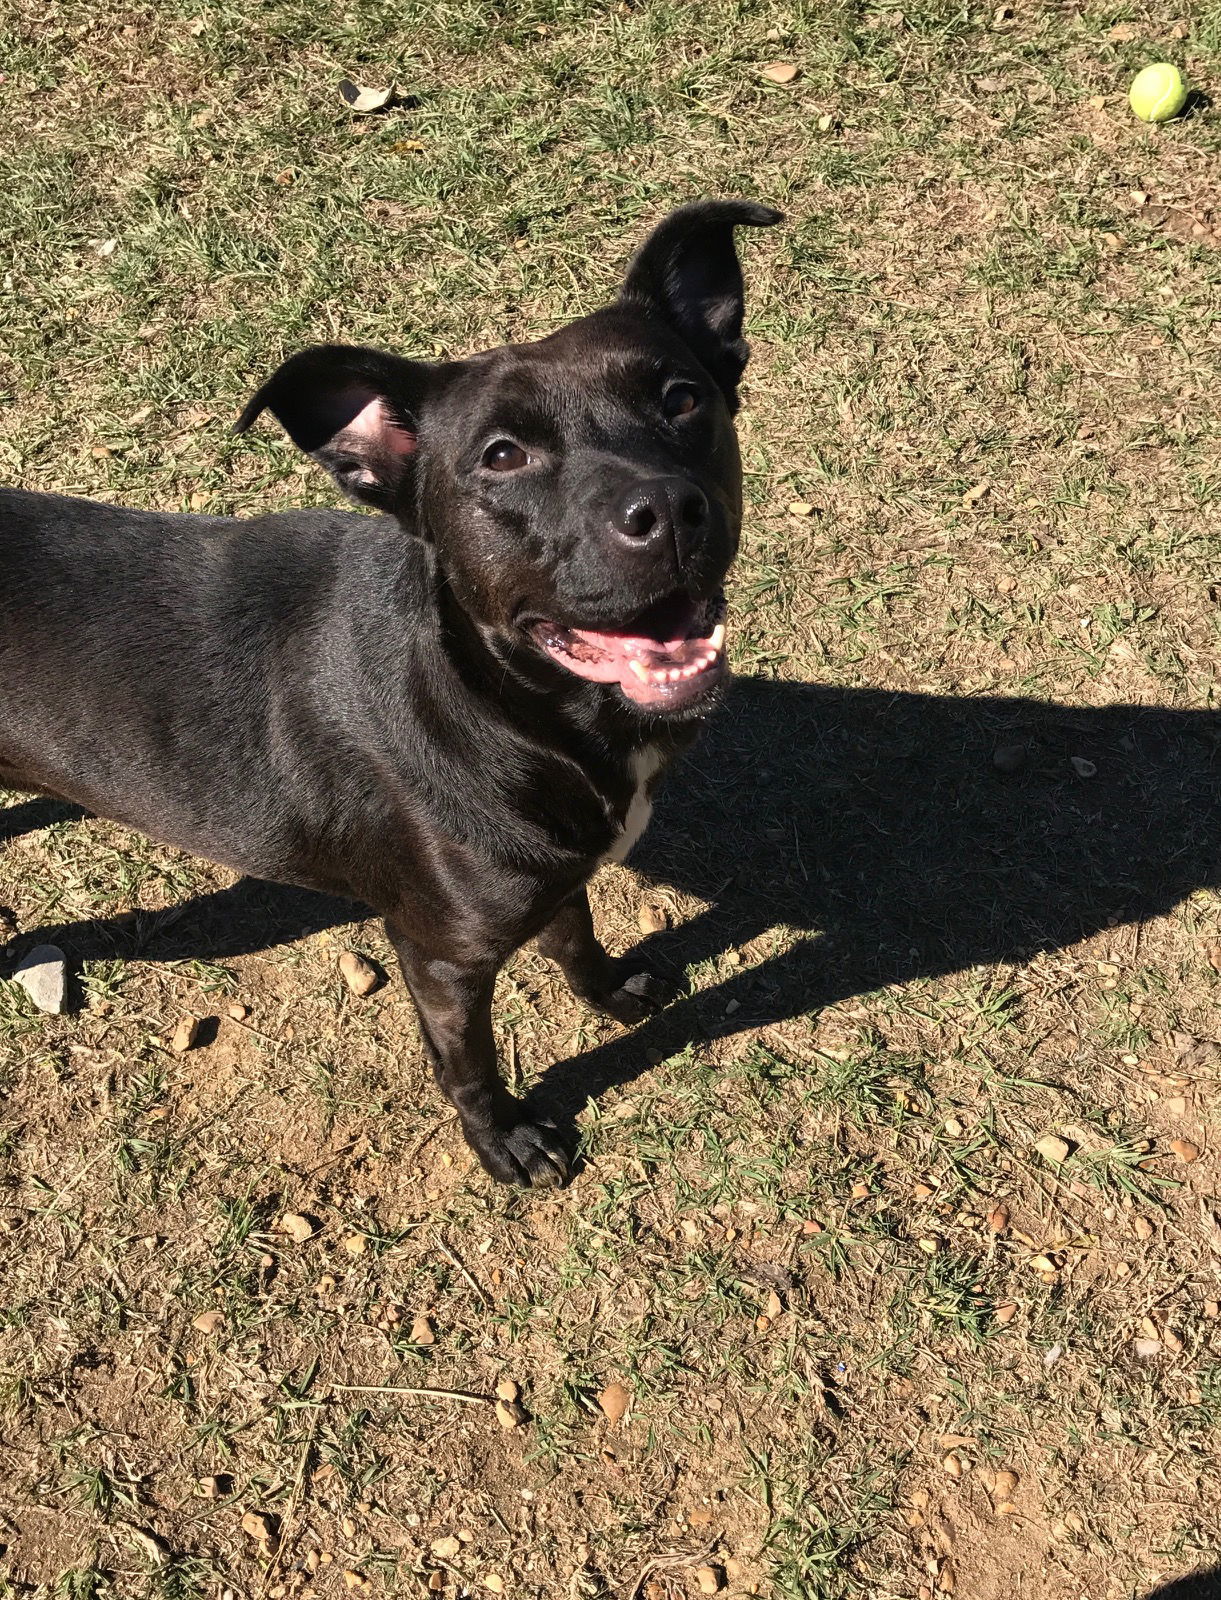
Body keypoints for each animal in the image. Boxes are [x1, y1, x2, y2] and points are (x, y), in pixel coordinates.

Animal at [0, 200, 777, 1184]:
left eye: (681, 398)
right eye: (500, 455)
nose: (665, 511)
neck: (505, 708)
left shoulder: (556, 874)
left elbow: (576, 933)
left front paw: (608, 988)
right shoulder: (441, 957)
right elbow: (467, 1062)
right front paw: (504, 1139)